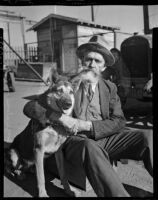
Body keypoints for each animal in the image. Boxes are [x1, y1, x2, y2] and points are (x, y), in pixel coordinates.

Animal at [4, 68, 97, 197]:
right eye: (59, 91)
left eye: (71, 92)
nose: (69, 104)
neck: (55, 124)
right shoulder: (38, 149)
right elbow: (41, 177)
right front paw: (42, 194)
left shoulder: (58, 151)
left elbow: (63, 174)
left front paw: (69, 190)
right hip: (13, 154)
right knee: (10, 168)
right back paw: (19, 173)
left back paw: (30, 170)